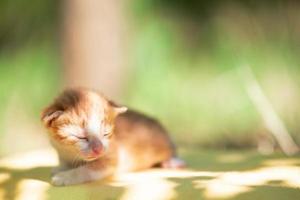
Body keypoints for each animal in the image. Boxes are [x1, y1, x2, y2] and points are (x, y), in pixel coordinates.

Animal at [41, 88, 184, 185]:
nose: (98, 149)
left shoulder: (112, 157)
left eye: (105, 133)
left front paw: (65, 176)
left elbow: (88, 169)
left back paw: (172, 161)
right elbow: (64, 162)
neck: (69, 152)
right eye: (81, 137)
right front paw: (61, 168)